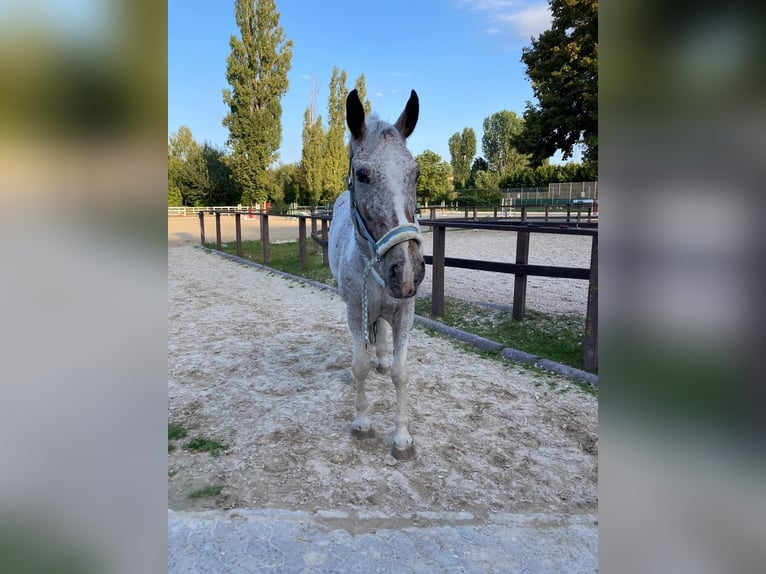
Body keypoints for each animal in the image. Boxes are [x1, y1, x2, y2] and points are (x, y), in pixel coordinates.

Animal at [328, 88, 428, 462]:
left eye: (415, 174)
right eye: (363, 175)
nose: (408, 272)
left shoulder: (405, 312)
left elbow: (401, 373)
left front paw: (402, 438)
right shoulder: (356, 308)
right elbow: (359, 365)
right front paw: (362, 423)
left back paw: (381, 360)